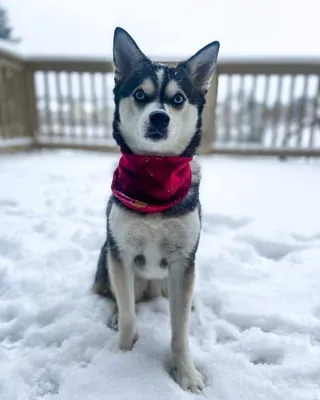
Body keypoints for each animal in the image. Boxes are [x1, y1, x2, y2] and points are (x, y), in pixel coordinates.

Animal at [92, 26, 220, 392]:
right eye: (139, 94)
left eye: (178, 100)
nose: (159, 117)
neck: (155, 175)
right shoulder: (120, 253)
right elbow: (129, 316)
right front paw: (121, 356)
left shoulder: (182, 262)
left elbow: (180, 331)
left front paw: (186, 373)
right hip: (106, 257)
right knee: (119, 298)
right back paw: (115, 313)